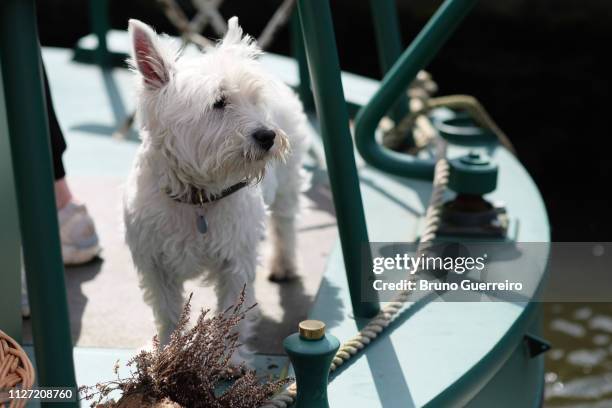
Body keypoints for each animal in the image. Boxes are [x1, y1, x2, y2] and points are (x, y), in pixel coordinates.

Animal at [123, 17, 308, 362]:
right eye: (219, 102)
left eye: (254, 99)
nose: (268, 136)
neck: (197, 195)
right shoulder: (155, 263)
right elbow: (167, 313)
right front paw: (166, 352)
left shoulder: (235, 260)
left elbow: (231, 312)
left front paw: (229, 360)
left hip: (288, 180)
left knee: (285, 222)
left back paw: (285, 264)